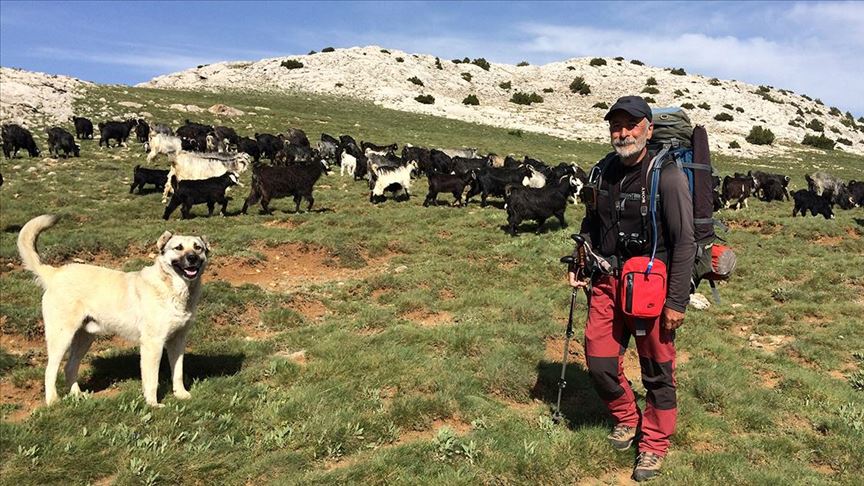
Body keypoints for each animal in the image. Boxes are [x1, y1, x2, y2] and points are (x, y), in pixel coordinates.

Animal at [17, 215, 209, 408]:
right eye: (178, 248)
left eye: (197, 247)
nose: (192, 258)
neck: (173, 288)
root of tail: (56, 273)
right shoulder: (152, 344)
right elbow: (152, 380)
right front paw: (153, 404)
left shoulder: (178, 341)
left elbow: (178, 372)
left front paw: (181, 395)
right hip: (62, 337)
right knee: (50, 370)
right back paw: (52, 401)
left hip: (84, 338)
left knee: (69, 367)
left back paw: (77, 395)